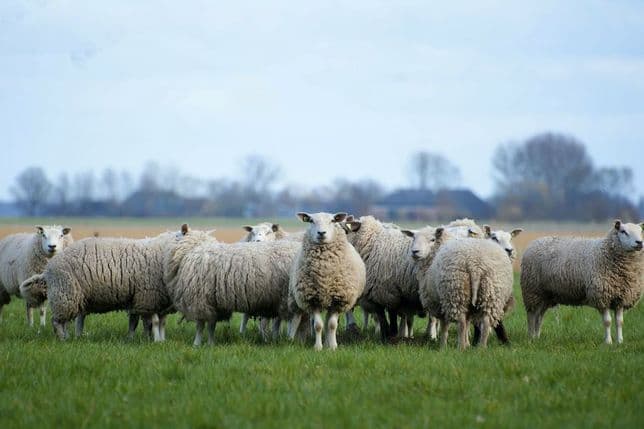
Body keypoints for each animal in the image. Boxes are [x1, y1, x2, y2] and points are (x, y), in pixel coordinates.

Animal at [23, 227, 188, 341]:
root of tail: (47, 270)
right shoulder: (148, 297)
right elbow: (151, 322)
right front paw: (152, 340)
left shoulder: (139, 298)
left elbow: (138, 322)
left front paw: (134, 339)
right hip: (65, 292)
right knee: (57, 321)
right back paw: (63, 339)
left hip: (71, 296)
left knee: (67, 321)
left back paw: (70, 337)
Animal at [164, 227, 302, 346]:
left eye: (178, 234)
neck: (191, 251)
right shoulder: (214, 302)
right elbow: (211, 325)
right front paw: (210, 343)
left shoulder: (199, 300)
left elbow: (200, 326)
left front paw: (196, 344)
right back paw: (279, 338)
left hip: (288, 295)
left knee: (295, 319)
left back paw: (290, 339)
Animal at [287, 212, 366, 350]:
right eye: (311, 221)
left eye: (332, 220)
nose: (321, 233)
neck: (324, 271)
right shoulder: (312, 299)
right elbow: (318, 325)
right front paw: (318, 347)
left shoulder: (338, 300)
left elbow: (332, 325)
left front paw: (333, 346)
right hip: (295, 297)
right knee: (296, 317)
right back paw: (291, 339)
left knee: (329, 321)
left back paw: (328, 342)